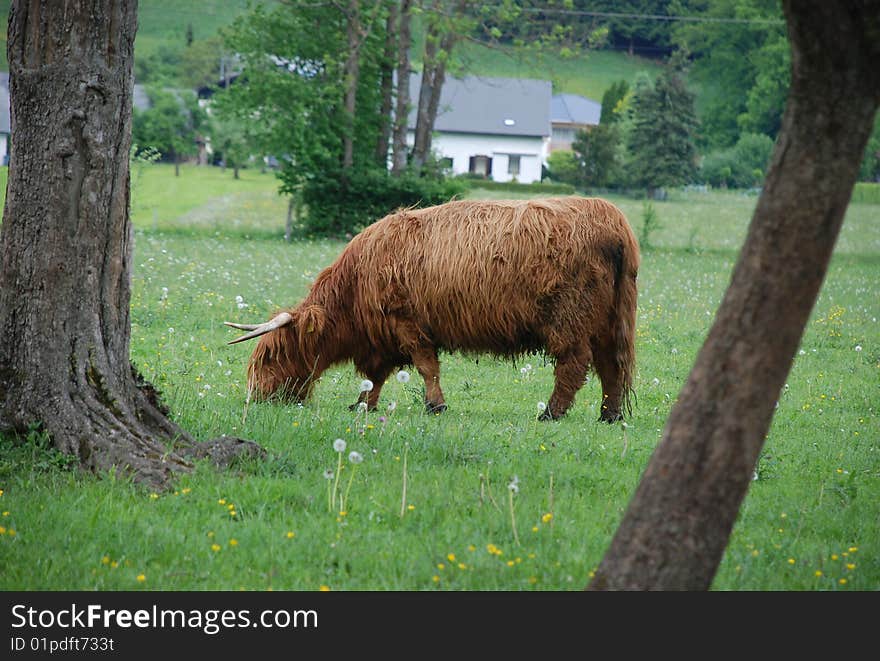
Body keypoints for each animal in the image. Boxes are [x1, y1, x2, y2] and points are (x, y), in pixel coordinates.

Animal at [227, 196, 640, 422]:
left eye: (270, 357)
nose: (255, 398)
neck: (354, 286)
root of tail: (612, 220)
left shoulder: (406, 323)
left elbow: (426, 366)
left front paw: (434, 405)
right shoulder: (382, 339)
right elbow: (375, 377)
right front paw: (363, 404)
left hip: (569, 318)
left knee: (574, 363)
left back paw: (551, 412)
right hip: (611, 320)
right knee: (611, 365)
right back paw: (609, 414)